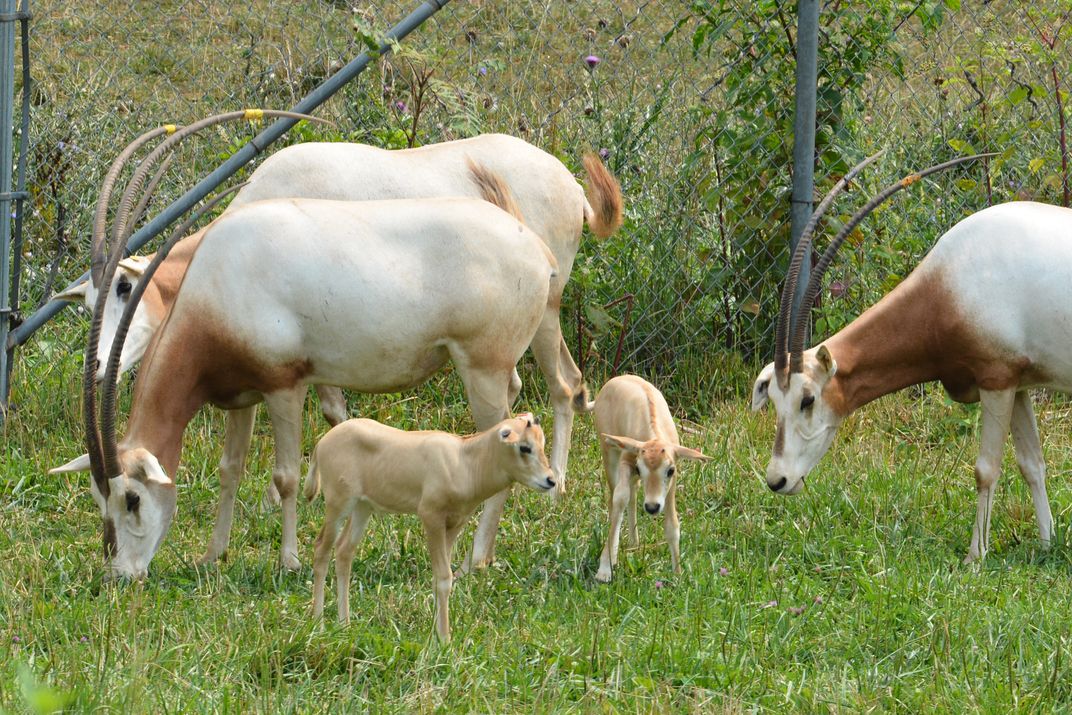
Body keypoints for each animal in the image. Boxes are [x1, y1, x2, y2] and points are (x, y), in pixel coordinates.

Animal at [302, 413, 553, 643]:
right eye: (524, 447)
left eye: (541, 444)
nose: (550, 480)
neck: (464, 460)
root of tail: (322, 444)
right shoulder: (431, 517)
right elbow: (443, 577)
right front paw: (444, 640)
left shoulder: (455, 524)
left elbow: (440, 578)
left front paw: (436, 634)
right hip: (339, 503)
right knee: (321, 549)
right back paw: (319, 624)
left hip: (362, 507)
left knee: (344, 550)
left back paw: (344, 624)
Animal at [591, 377, 707, 583]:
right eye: (640, 467)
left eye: (670, 470)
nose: (652, 507)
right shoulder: (627, 460)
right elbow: (620, 498)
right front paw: (604, 569)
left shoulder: (671, 482)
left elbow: (672, 523)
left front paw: (678, 575)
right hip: (609, 453)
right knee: (616, 497)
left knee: (634, 492)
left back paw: (634, 543)